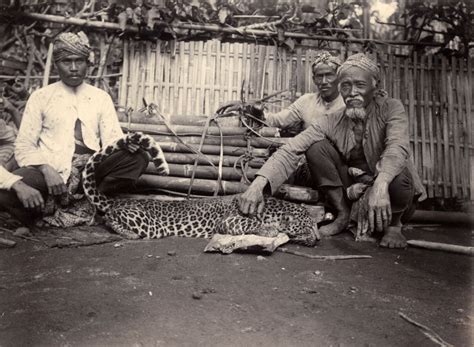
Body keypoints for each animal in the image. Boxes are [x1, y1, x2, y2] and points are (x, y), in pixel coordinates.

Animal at [81, 131, 320, 247]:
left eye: (316, 226)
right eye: (308, 227)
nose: (318, 239)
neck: (272, 209)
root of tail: (119, 200)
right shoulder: (228, 221)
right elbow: (250, 223)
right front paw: (270, 230)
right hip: (148, 224)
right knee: (109, 218)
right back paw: (129, 234)